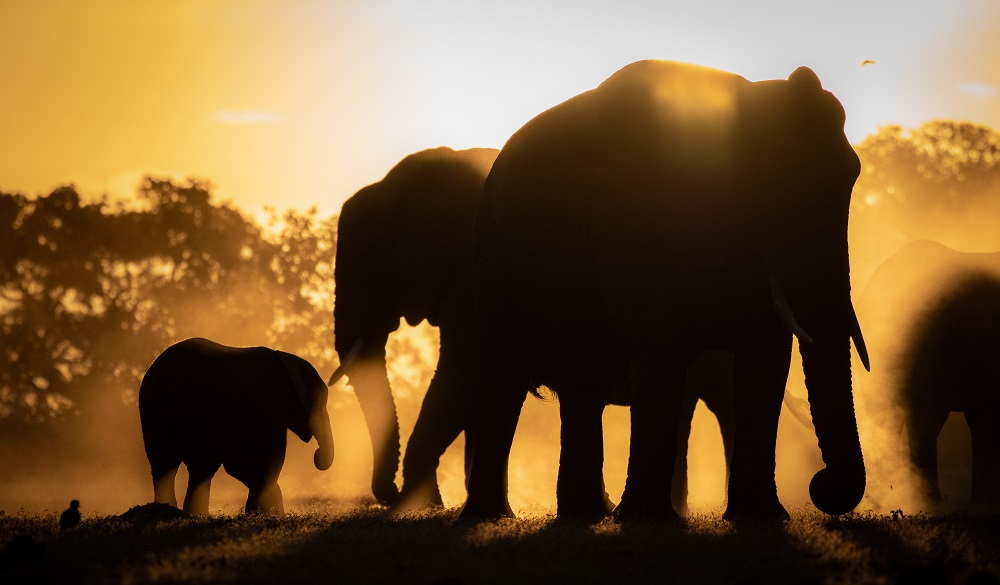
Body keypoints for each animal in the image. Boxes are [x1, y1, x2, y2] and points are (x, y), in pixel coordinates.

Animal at [138, 336, 336, 512]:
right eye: (321, 403)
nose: (317, 456)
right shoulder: (268, 409)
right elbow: (271, 457)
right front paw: (260, 513)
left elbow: (237, 465)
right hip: (202, 413)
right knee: (201, 466)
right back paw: (195, 514)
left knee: (162, 464)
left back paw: (168, 510)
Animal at [460, 61, 868, 524]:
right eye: (770, 185)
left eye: (851, 176)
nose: (821, 485)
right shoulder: (637, 229)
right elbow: (661, 356)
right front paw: (646, 520)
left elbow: (765, 359)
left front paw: (761, 519)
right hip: (492, 258)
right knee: (503, 379)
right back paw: (491, 518)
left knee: (582, 389)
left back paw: (583, 516)